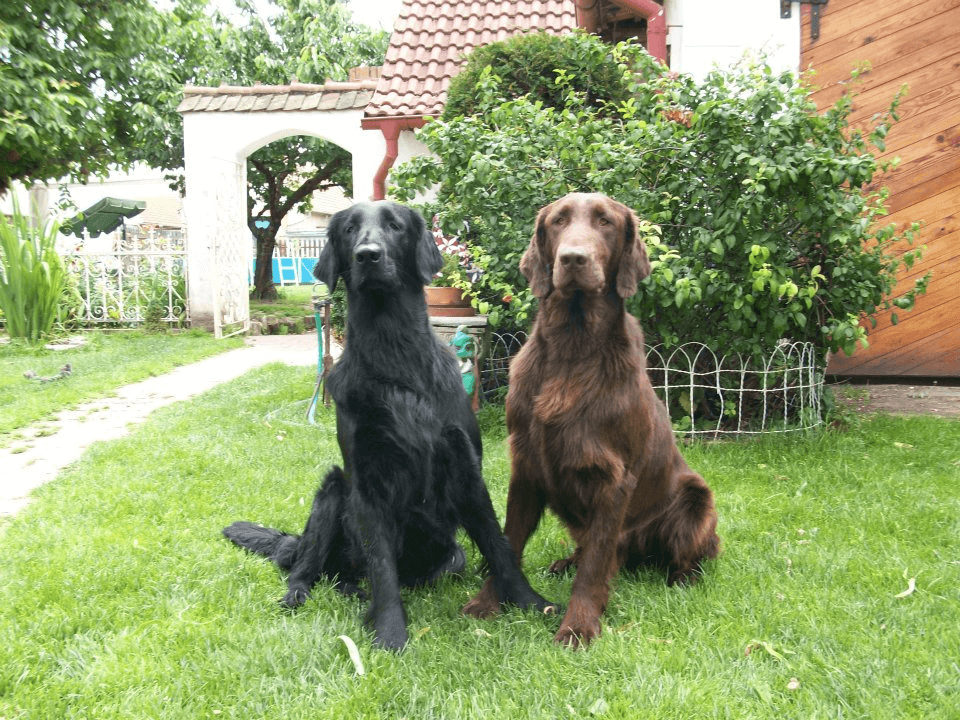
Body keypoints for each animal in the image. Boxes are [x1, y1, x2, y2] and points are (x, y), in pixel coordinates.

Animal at [225, 200, 556, 648]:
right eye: (349, 229)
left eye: (395, 226)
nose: (367, 255)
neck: (394, 354)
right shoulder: (366, 482)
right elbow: (382, 566)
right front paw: (390, 633)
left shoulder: (467, 469)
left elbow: (498, 544)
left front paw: (531, 602)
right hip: (332, 492)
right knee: (306, 567)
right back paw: (300, 593)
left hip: (452, 555)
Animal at [464, 191, 720, 648]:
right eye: (558, 222)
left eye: (605, 222)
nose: (573, 258)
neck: (573, 344)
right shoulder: (525, 466)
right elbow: (508, 543)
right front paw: (488, 602)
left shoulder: (612, 480)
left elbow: (597, 564)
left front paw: (579, 625)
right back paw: (564, 562)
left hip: (697, 499)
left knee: (685, 554)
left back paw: (682, 578)